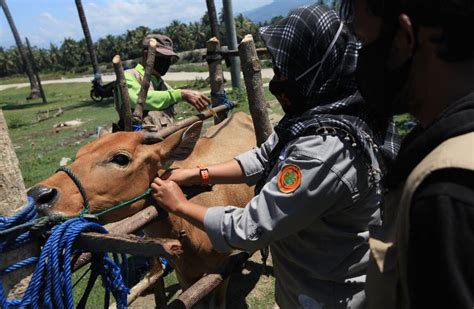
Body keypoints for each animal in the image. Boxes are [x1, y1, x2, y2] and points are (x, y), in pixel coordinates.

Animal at [26, 111, 256, 306]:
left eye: (120, 158)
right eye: (80, 153)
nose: (39, 195)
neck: (188, 232)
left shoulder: (223, 269)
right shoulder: (185, 275)